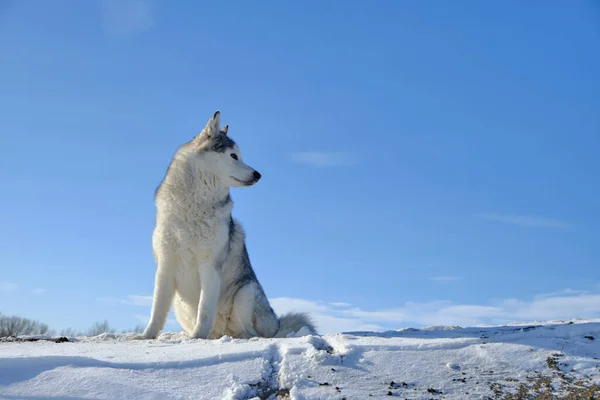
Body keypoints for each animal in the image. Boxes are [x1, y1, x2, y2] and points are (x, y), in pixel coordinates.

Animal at [136, 111, 314, 340]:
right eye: (233, 156)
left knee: (248, 332)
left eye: (240, 155)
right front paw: (146, 336)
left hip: (246, 291)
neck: (192, 209)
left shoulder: (209, 266)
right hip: (180, 303)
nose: (258, 174)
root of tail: (276, 326)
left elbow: (204, 310)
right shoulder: (165, 266)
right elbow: (156, 310)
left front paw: (197, 337)